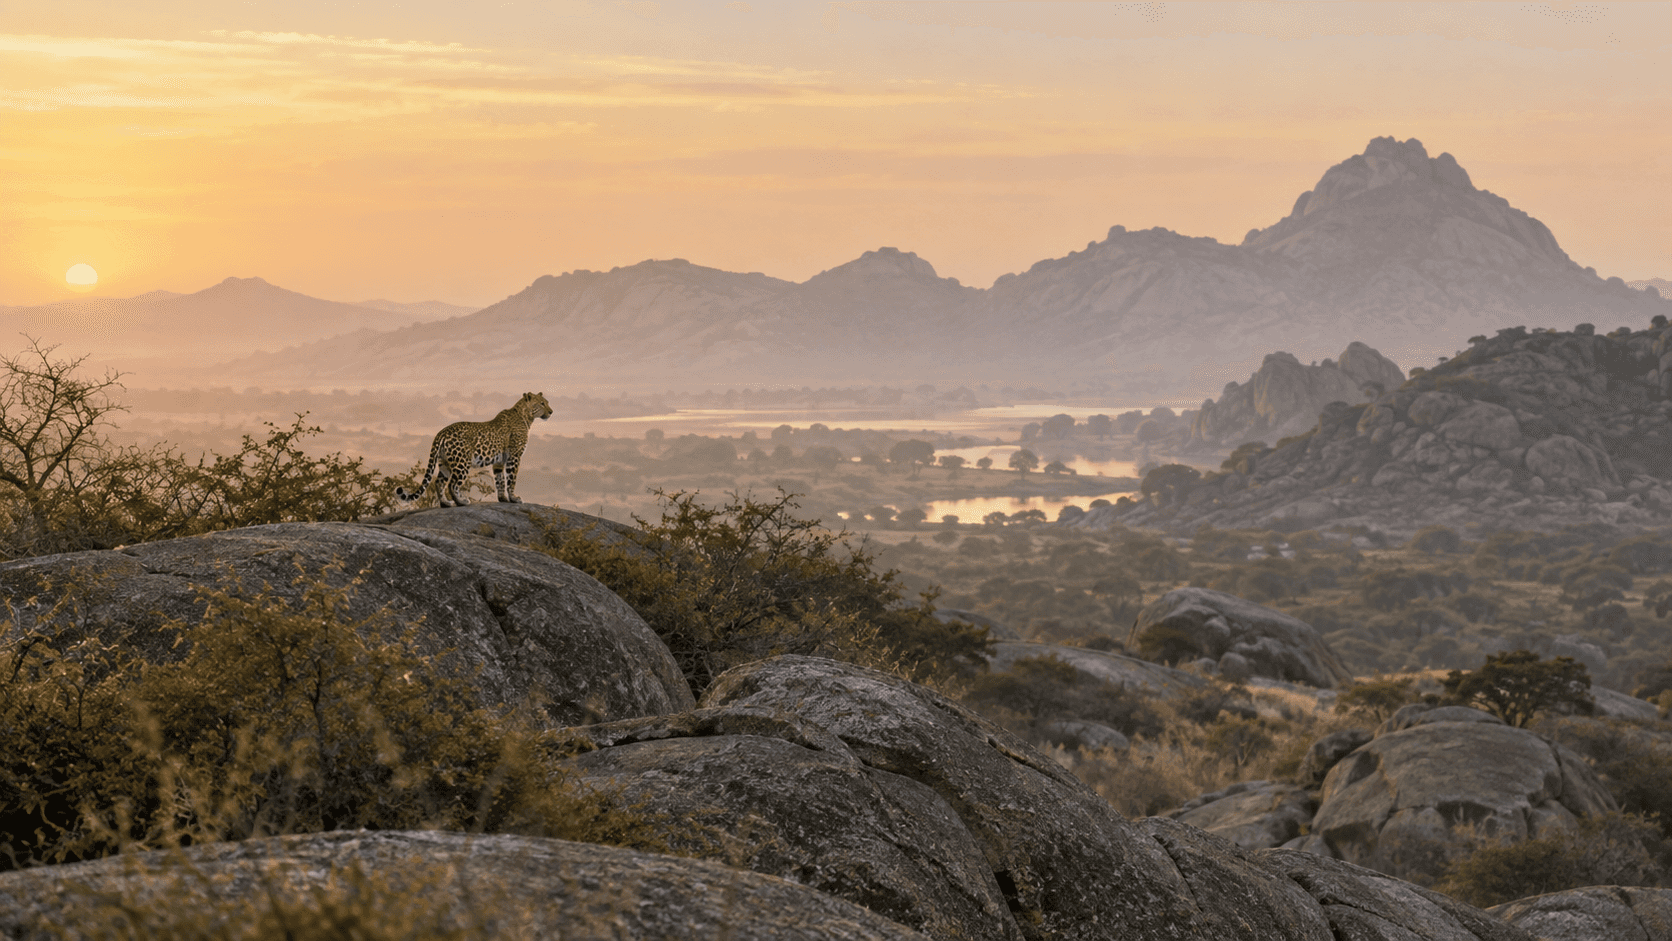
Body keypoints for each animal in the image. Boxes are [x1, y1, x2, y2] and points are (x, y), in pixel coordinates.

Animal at [396, 391, 554, 507]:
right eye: (542, 403)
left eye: (547, 402)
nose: (551, 411)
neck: (526, 417)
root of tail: (441, 432)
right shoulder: (514, 457)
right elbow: (511, 479)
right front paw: (514, 498)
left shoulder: (499, 460)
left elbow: (500, 480)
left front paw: (503, 498)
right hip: (462, 463)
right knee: (452, 484)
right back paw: (461, 502)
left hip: (444, 462)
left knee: (439, 482)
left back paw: (446, 503)